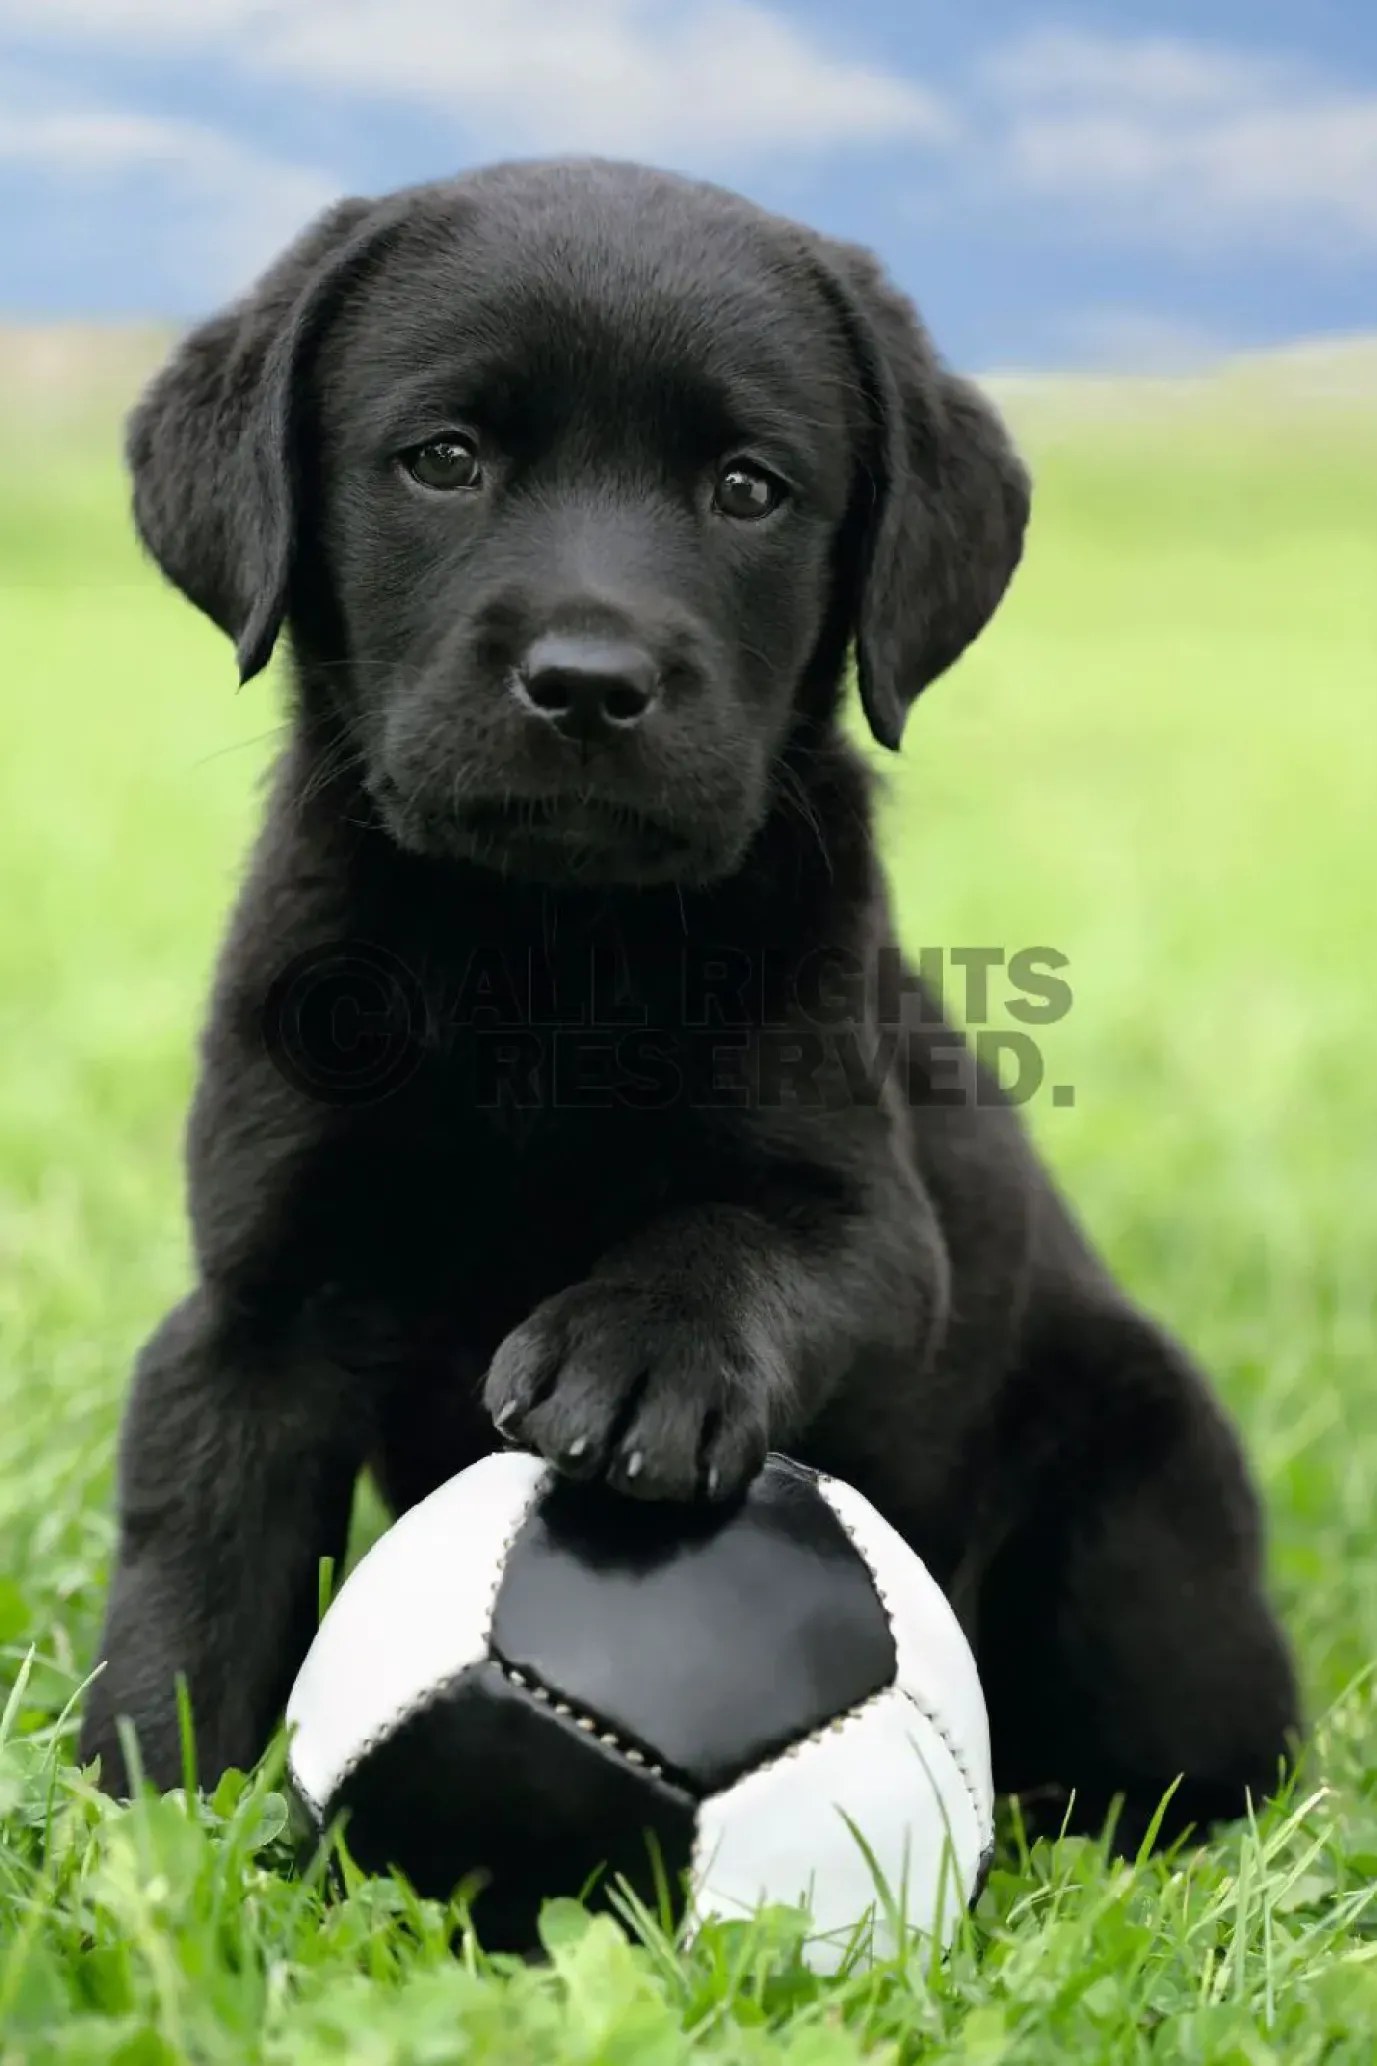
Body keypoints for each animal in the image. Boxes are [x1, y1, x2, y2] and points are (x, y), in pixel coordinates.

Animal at [81, 157, 1296, 1842]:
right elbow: (194, 1574)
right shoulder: (259, 1299)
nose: (591, 680)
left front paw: (641, 1351)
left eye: (747, 488)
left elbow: (746, 1232)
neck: (537, 946)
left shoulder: (881, 1229)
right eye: (443, 460)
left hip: (1144, 1494)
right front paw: (141, 1823)